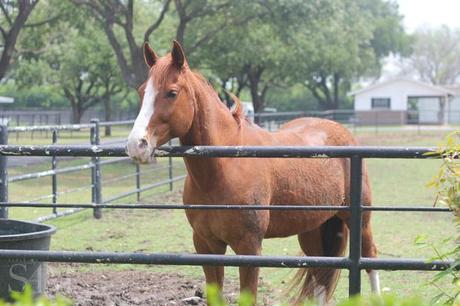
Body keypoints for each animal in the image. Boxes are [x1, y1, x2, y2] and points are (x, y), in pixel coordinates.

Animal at [126, 41, 380, 304]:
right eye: (142, 91)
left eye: (172, 92)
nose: (137, 144)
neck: (223, 169)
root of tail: (340, 130)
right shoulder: (206, 245)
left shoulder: (249, 248)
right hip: (313, 229)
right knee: (321, 275)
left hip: (359, 221)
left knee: (370, 259)